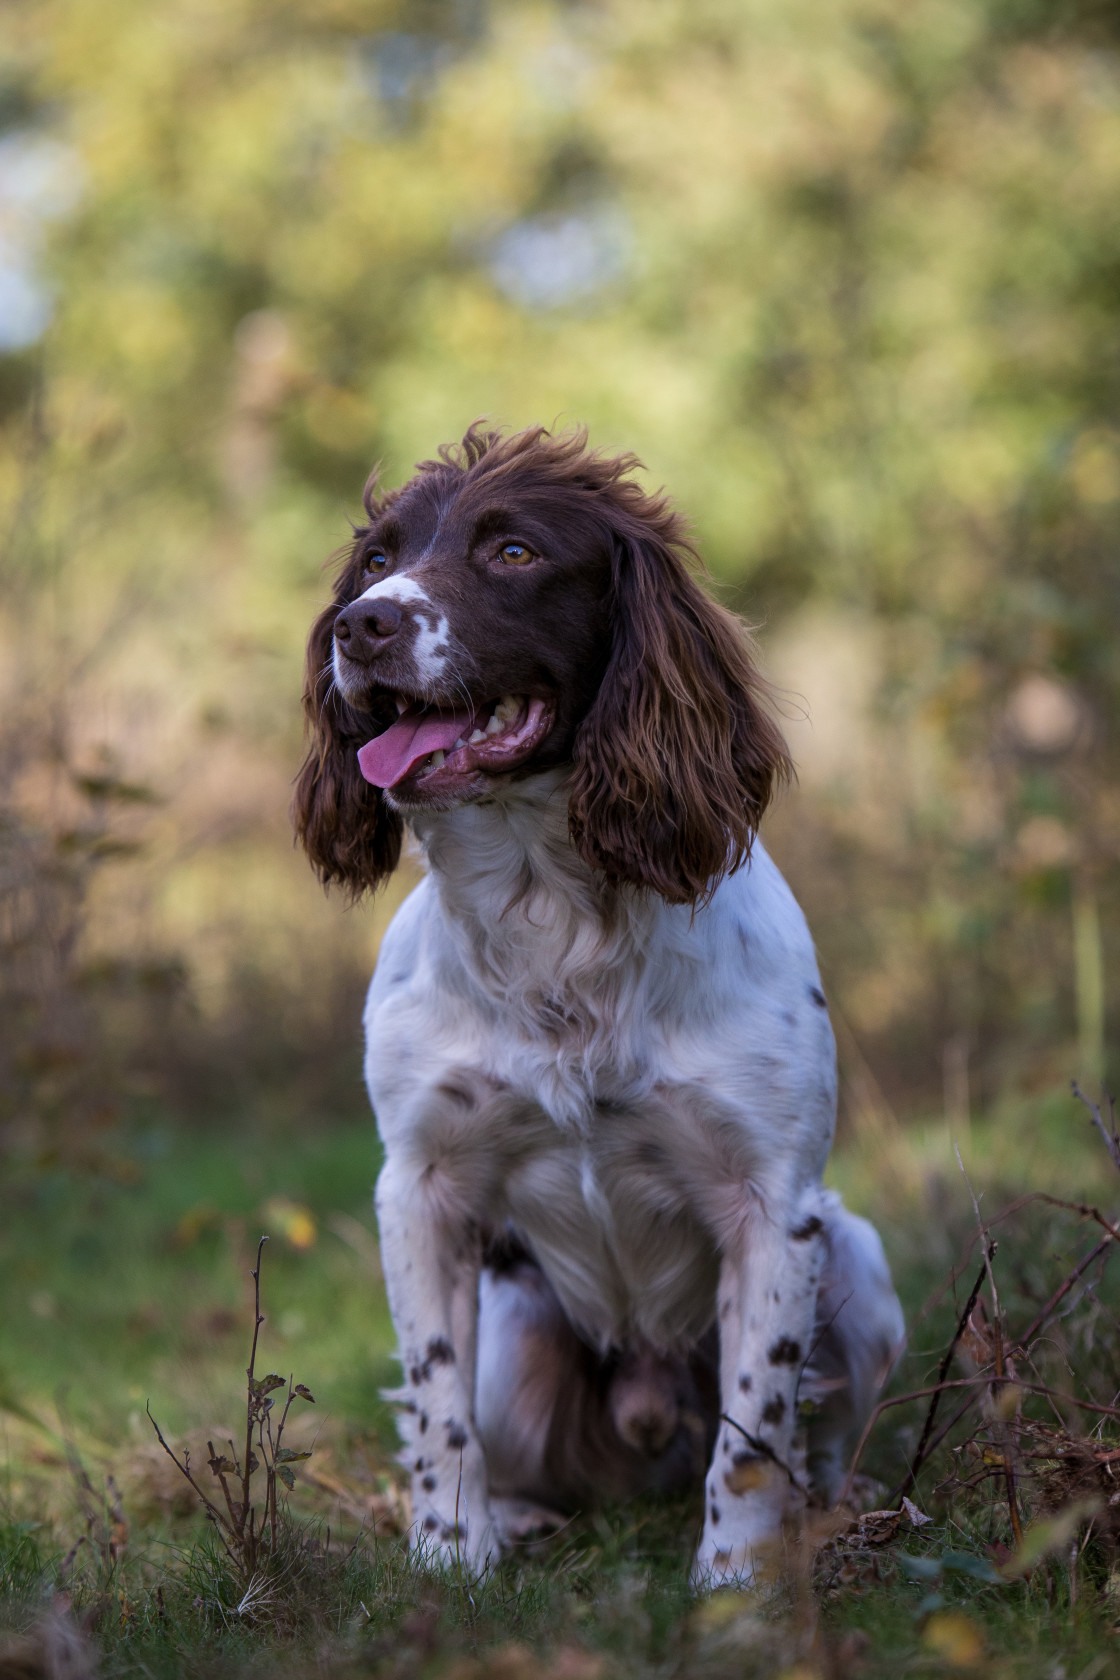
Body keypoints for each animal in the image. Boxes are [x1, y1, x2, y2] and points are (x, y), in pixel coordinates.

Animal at [293, 426, 906, 1579]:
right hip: (518, 1335)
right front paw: (450, 1559)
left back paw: (837, 1514)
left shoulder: (776, 1206)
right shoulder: (422, 1190)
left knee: (815, 1440)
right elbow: (434, 1403)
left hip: (858, 1265)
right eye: (374, 559)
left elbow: (753, 1434)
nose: (363, 624)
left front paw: (735, 1582)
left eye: (516, 552)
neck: (553, 921)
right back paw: (518, 1517)